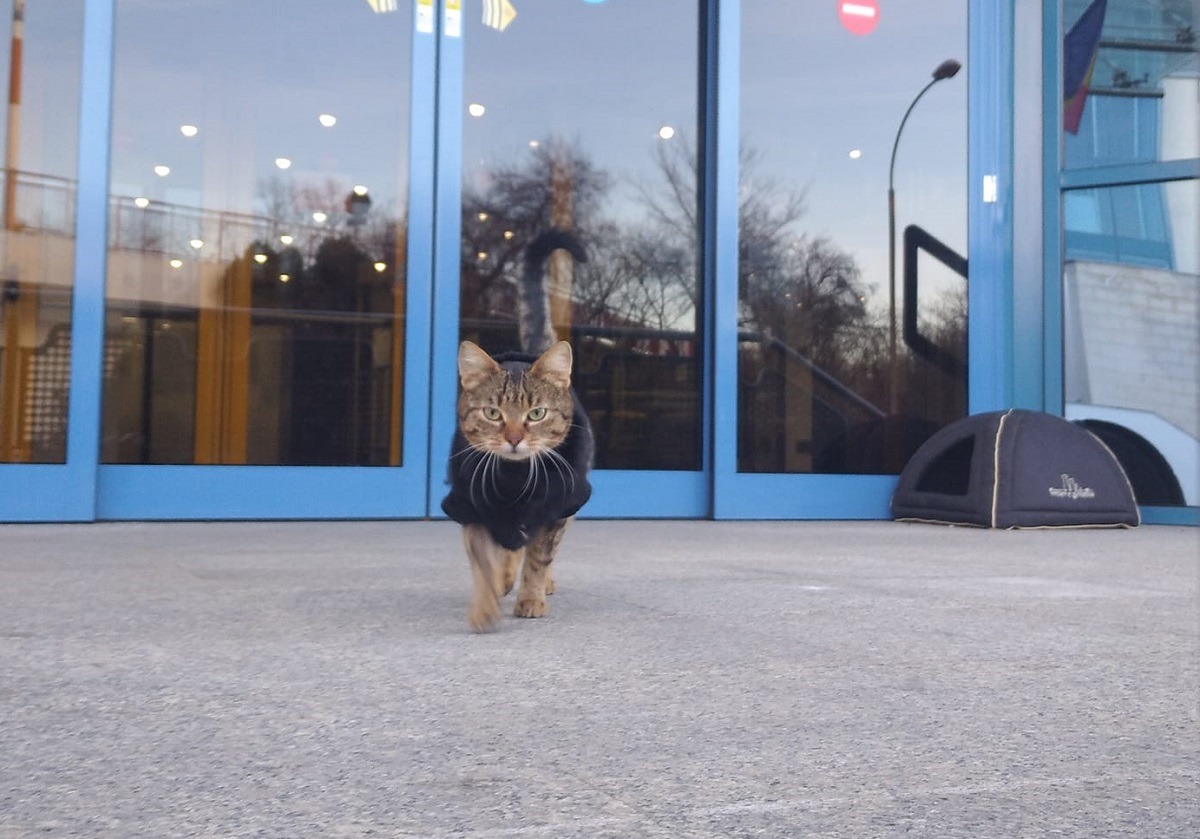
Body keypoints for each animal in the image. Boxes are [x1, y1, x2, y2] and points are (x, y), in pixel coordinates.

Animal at [441, 226, 595, 633]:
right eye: (493, 413)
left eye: (536, 413)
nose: (513, 438)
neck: (513, 480)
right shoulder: (470, 504)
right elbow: (484, 559)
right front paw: (486, 603)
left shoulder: (557, 505)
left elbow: (539, 557)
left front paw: (531, 598)